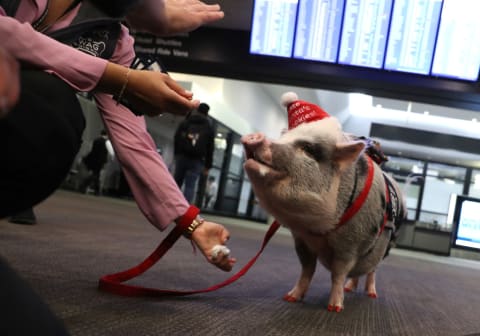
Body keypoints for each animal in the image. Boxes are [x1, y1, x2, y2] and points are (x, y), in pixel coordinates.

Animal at [240, 92, 404, 312]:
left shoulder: (349, 244)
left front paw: (334, 308)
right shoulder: (301, 240)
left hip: (383, 249)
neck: (317, 229)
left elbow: (338, 275)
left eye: (309, 149)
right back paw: (351, 288)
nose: (253, 136)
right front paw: (290, 298)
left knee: (371, 271)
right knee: (357, 275)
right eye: (283, 138)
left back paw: (371, 294)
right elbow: (307, 269)